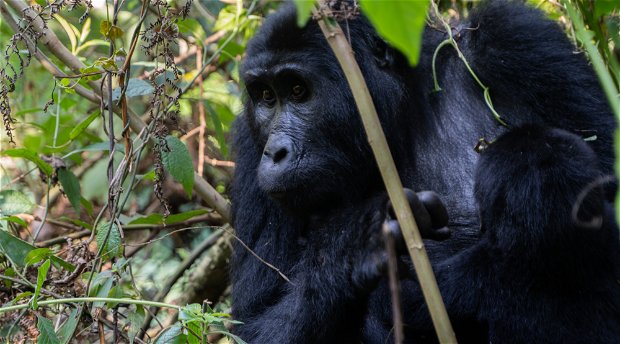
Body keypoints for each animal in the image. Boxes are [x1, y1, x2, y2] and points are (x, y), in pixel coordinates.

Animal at [229, 1, 620, 342]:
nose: (275, 153)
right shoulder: (249, 146)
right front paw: (353, 245)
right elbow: (251, 326)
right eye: (266, 97)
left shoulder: (518, 38)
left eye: (298, 90)